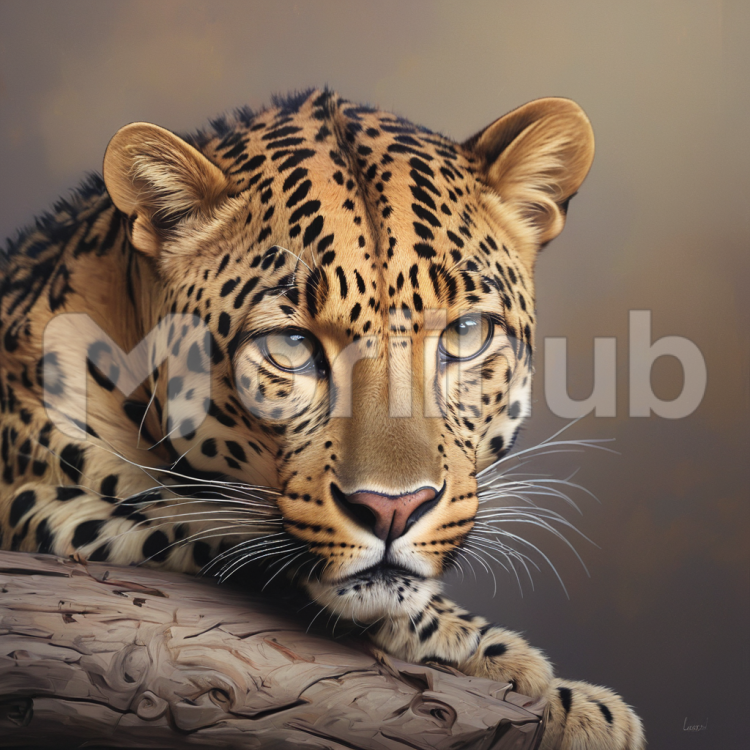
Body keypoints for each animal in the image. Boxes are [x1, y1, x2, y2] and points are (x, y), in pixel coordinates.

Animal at [0, 88, 644, 749]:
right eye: (291, 344)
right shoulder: (42, 503)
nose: (394, 511)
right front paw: (528, 675)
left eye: (466, 332)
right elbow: (200, 526)